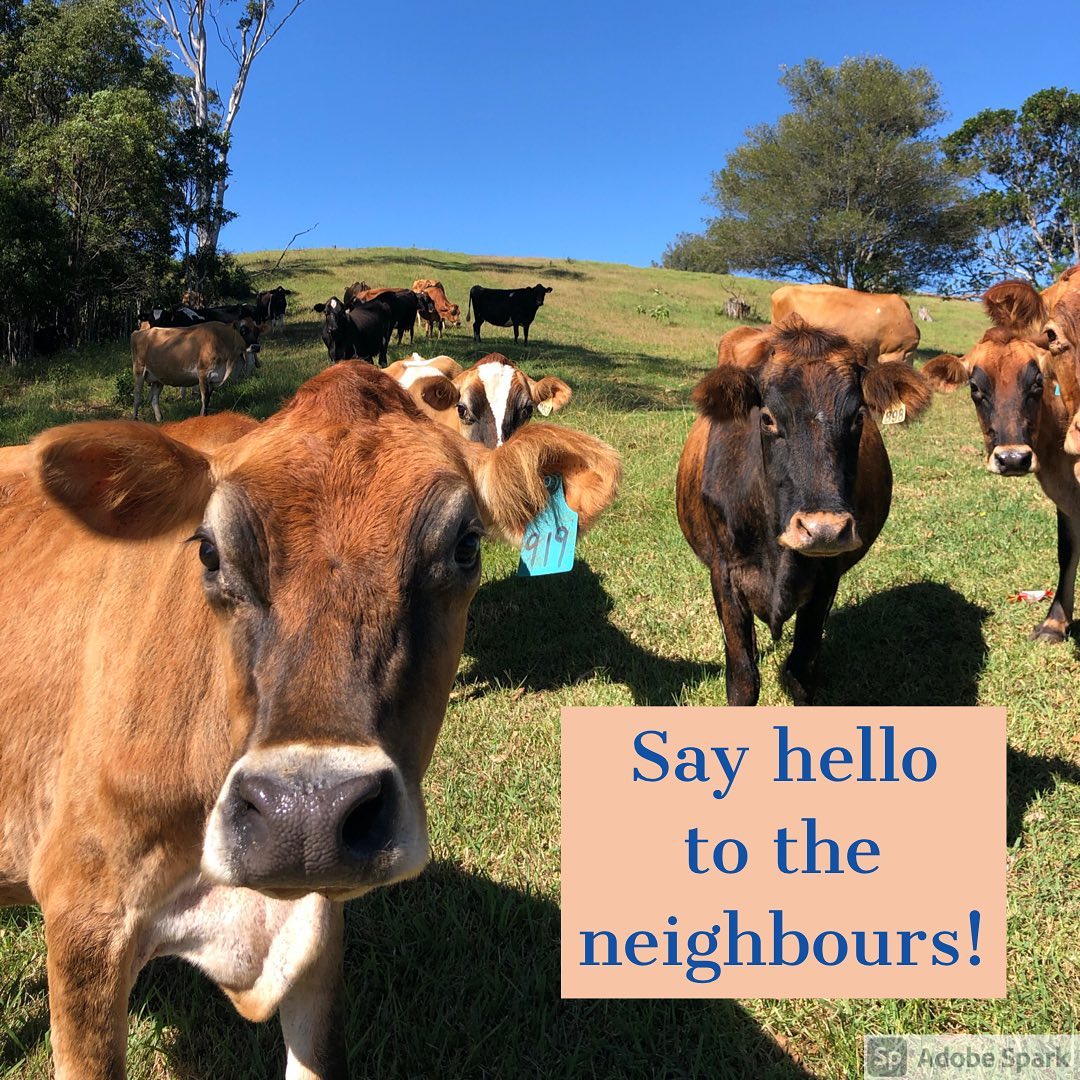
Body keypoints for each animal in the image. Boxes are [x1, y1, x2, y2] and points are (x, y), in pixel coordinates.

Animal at [131, 322, 261, 421]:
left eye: (257, 331)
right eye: (243, 331)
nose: (256, 347)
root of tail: (139, 332)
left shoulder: (214, 378)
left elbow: (208, 399)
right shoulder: (203, 373)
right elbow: (205, 397)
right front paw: (202, 416)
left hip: (158, 378)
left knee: (154, 398)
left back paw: (159, 419)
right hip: (139, 370)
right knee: (137, 396)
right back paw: (134, 419)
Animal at [677, 319, 932, 705]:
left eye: (858, 417)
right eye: (767, 418)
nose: (823, 529)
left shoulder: (826, 579)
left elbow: (801, 673)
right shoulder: (724, 575)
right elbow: (743, 680)